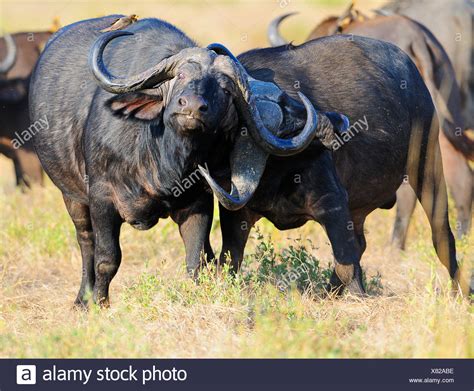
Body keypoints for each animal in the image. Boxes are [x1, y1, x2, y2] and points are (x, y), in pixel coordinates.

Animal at [29, 16, 344, 308]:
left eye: (225, 89)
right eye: (180, 75)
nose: (192, 107)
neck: (160, 160)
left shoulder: (198, 203)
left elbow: (196, 259)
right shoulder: (102, 199)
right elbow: (107, 258)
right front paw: (99, 304)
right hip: (72, 197)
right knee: (86, 242)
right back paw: (82, 299)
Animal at [200, 36, 466, 296]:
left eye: (287, 98)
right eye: (284, 105)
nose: (337, 121)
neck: (273, 170)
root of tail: (413, 74)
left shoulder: (333, 202)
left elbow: (346, 262)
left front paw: (357, 296)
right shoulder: (236, 215)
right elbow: (229, 259)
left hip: (427, 163)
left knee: (442, 236)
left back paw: (459, 291)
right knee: (361, 242)